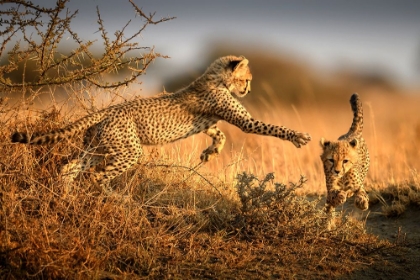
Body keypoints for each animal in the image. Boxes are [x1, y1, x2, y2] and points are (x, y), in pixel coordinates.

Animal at [11, 55, 310, 188]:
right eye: (246, 79)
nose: (248, 90)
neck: (215, 78)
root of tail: (108, 110)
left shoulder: (210, 121)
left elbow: (220, 134)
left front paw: (210, 153)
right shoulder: (244, 121)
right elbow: (272, 127)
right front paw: (299, 136)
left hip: (99, 148)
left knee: (70, 167)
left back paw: (65, 194)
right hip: (128, 151)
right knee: (96, 176)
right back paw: (114, 198)